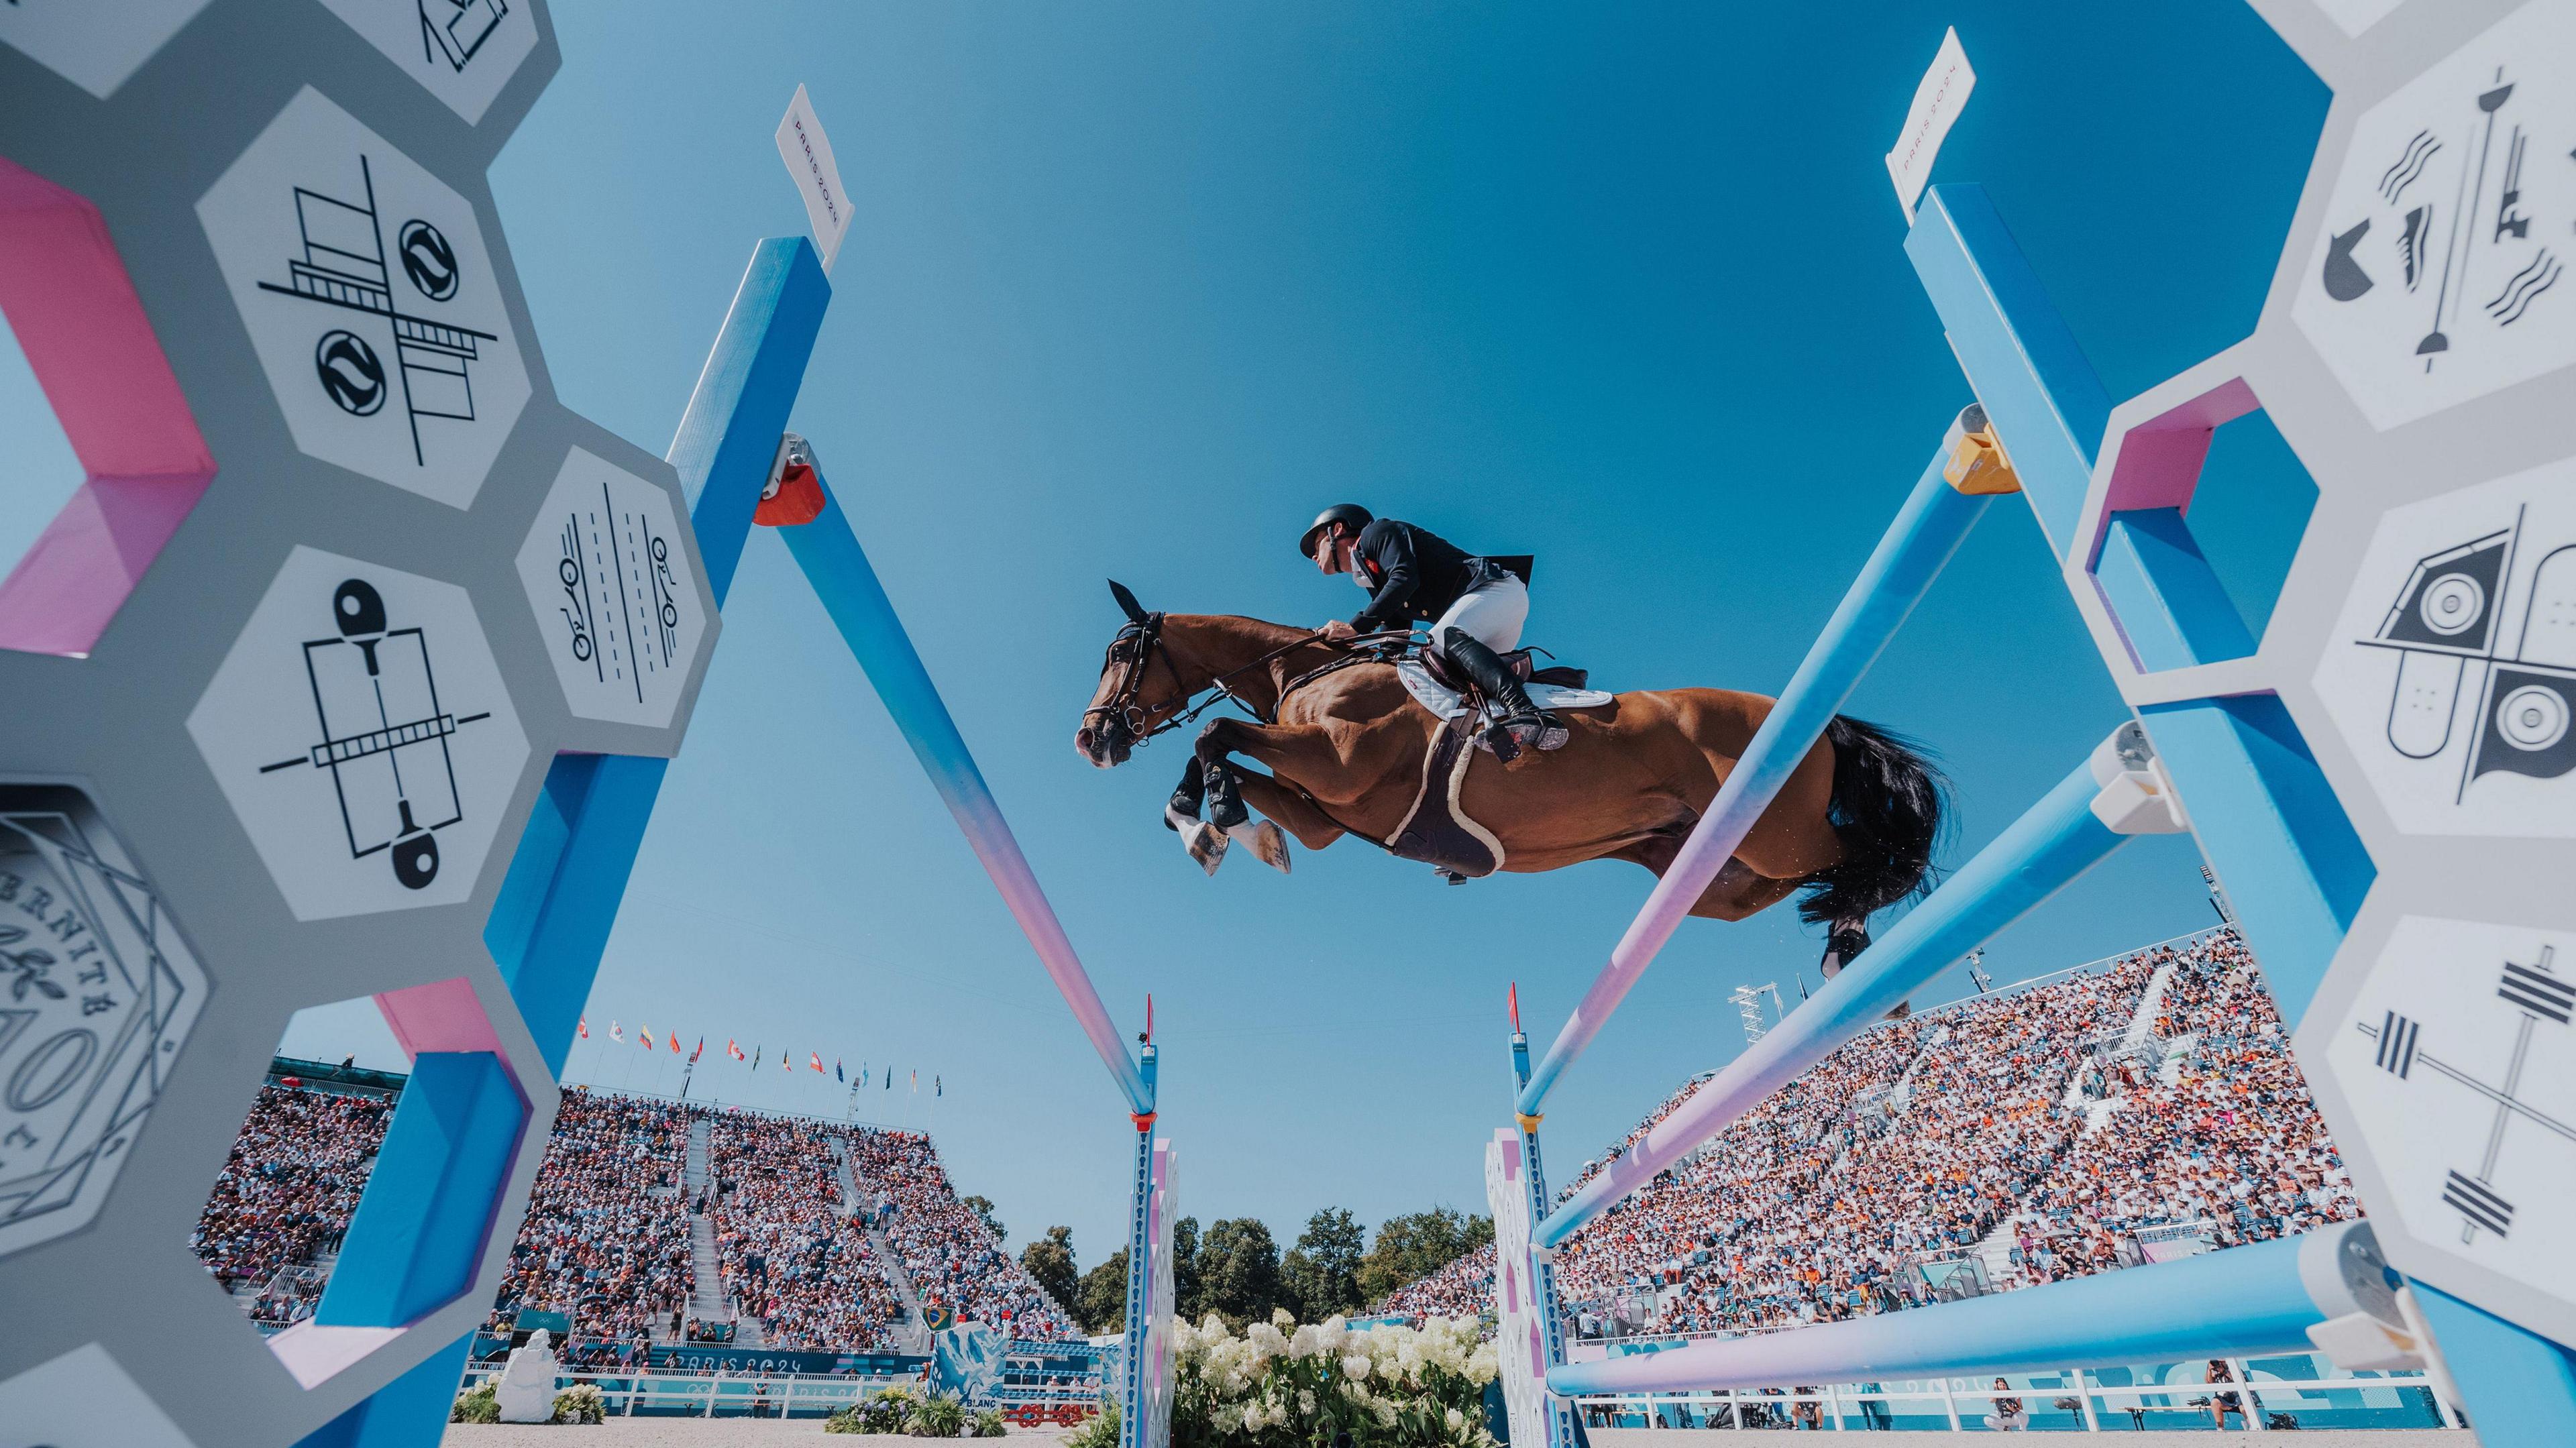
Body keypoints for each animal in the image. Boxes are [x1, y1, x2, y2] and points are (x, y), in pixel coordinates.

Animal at [1077, 582, 1937, 922]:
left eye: (1120, 651)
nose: (1090, 738)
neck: (1308, 670)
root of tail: (1824, 722)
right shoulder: (1326, 813)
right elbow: (1224, 753)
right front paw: (1209, 822)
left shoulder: (1339, 764)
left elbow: (1213, 733)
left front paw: (1211, 816)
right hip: (1710, 869)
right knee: (1794, 885)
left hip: (1778, 832)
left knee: (1871, 854)